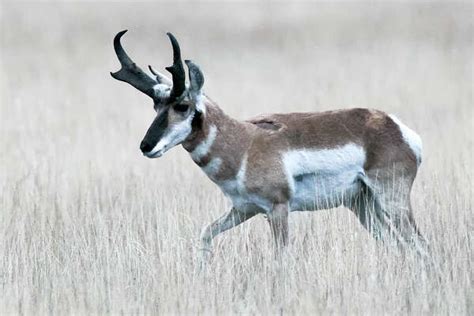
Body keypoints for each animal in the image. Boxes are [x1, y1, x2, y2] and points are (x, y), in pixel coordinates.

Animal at [110, 29, 430, 262]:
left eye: (182, 105)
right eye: (156, 104)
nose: (146, 146)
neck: (242, 142)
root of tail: (396, 127)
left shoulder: (277, 210)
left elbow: (280, 259)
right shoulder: (243, 209)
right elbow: (206, 233)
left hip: (392, 200)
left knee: (420, 243)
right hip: (362, 205)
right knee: (396, 245)